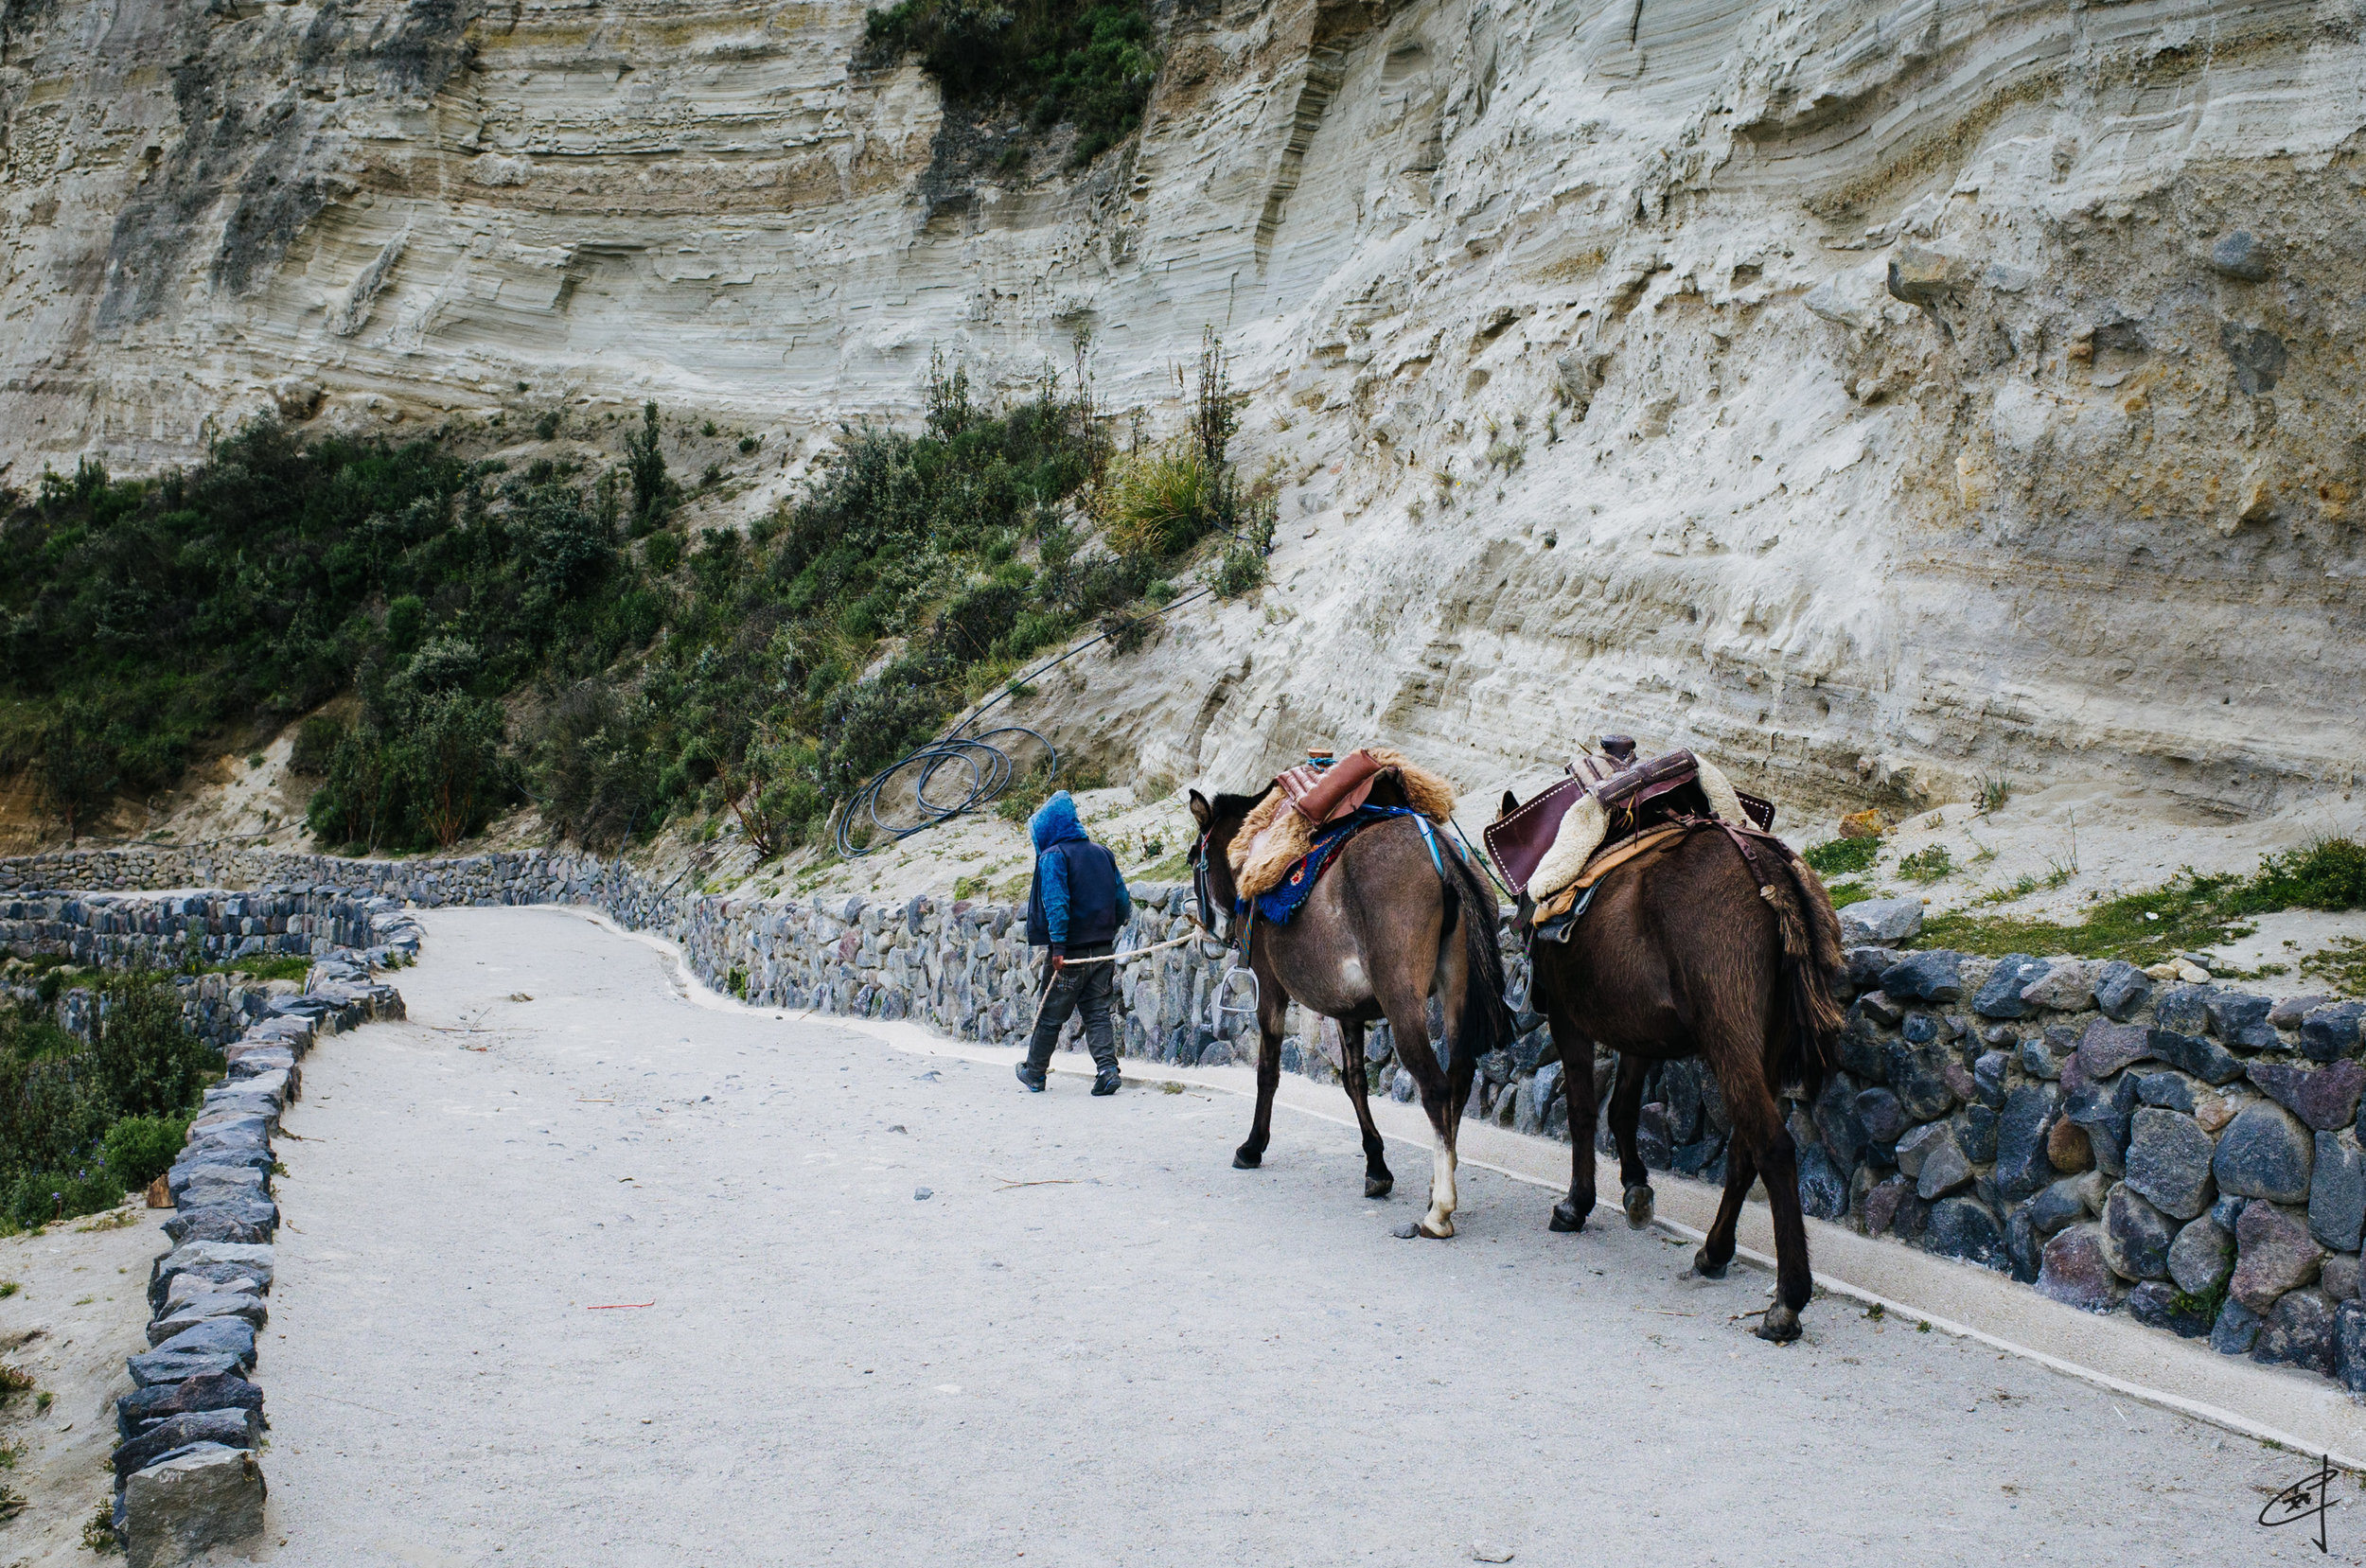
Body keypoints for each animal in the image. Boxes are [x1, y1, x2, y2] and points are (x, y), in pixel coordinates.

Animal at [1192, 784, 1505, 1239]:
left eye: (1192, 860)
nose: (1205, 936)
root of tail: (1443, 854)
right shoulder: (1347, 1009)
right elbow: (1355, 1081)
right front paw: (1376, 1167)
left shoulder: (1271, 990)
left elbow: (1268, 1070)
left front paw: (1252, 1146)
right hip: (1455, 992)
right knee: (1460, 1079)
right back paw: (1436, 1184)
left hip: (1402, 1002)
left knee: (1436, 1086)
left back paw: (1440, 1209)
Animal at [1514, 813, 1845, 1343]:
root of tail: (1769, 869)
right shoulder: (1638, 1032)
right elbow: (1622, 1109)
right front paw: (1635, 1187)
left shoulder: (1567, 1020)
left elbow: (1583, 1112)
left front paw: (1576, 1203)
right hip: (1764, 1048)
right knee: (1743, 1149)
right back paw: (1715, 1251)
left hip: (1728, 1032)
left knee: (1772, 1145)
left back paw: (1787, 1301)